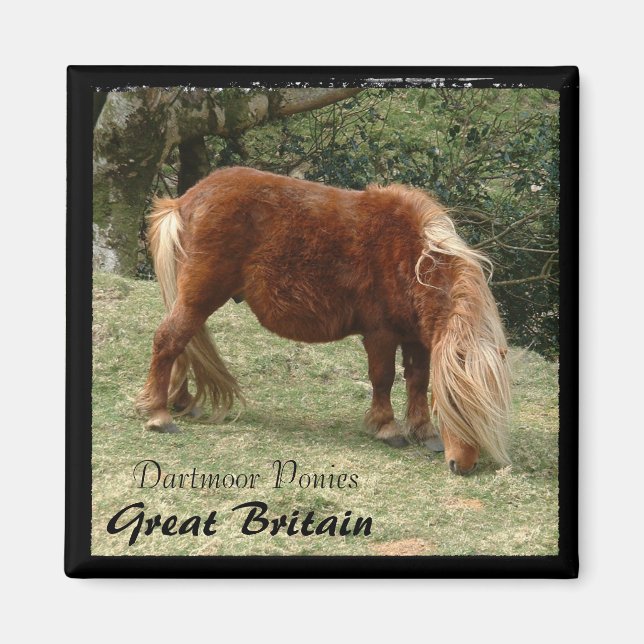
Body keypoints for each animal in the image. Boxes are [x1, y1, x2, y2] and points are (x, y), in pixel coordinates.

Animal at [136, 166, 511, 475]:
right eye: (455, 404)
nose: (462, 466)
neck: (412, 255)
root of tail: (184, 201)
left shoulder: (416, 337)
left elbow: (418, 381)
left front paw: (424, 431)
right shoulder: (381, 334)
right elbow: (383, 379)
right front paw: (387, 428)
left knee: (183, 346)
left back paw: (181, 403)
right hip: (199, 298)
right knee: (169, 340)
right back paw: (158, 414)